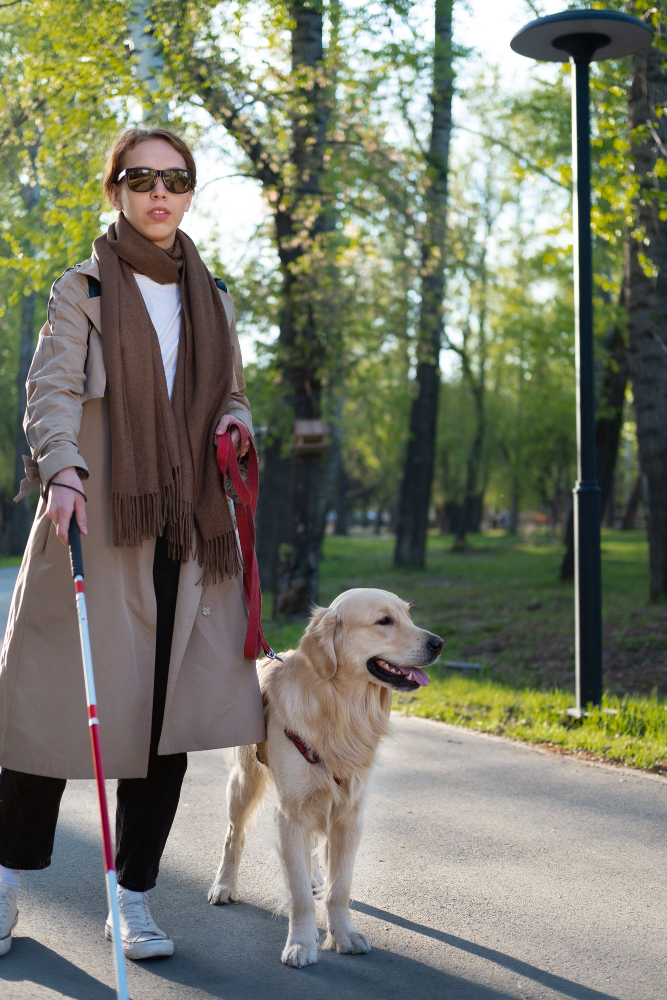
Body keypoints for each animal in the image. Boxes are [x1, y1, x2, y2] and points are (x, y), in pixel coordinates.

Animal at [206, 588, 440, 964]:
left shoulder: (349, 814)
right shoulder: (290, 813)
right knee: (234, 835)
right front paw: (301, 943)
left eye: (408, 615)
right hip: (245, 781)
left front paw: (343, 934)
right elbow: (298, 893)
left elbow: (339, 888)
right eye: (384, 621)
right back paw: (224, 885)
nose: (438, 643)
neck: (340, 708)